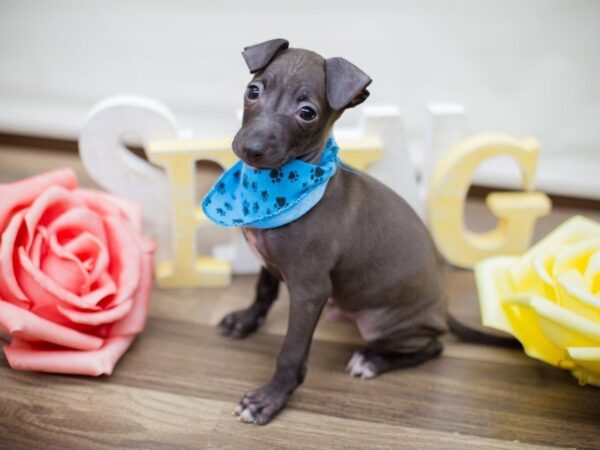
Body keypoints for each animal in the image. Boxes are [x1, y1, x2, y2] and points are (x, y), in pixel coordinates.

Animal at [218, 38, 448, 426]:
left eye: (307, 113)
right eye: (254, 91)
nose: (251, 148)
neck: (280, 190)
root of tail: (444, 312)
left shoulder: (310, 291)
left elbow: (292, 352)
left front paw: (268, 399)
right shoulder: (270, 262)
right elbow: (263, 290)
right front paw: (246, 321)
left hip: (387, 323)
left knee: (434, 346)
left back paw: (372, 360)